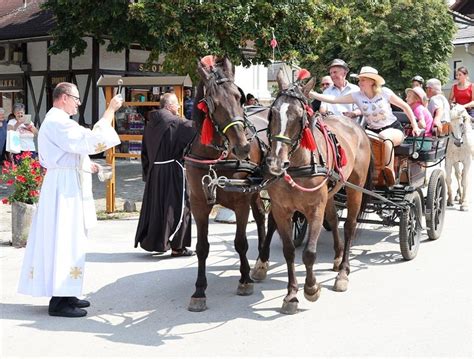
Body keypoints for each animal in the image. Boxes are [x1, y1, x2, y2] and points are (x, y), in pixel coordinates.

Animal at [184, 56, 266, 312]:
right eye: (214, 103)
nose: (243, 146)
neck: (216, 158)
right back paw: (262, 261)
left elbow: (240, 242)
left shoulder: (240, 202)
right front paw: (199, 291)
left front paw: (245, 279)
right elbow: (202, 247)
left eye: (239, 97)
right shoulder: (199, 204)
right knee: (261, 215)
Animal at [252, 69, 374, 314]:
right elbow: (289, 251)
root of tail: (356, 126)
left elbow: (309, 253)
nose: (275, 163)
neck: (296, 165)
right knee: (334, 217)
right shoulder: (281, 209)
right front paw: (291, 295)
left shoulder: (314, 208)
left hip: (355, 189)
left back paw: (343, 271)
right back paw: (337, 256)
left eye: (300, 117)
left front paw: (311, 288)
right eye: (272, 113)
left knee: (349, 227)